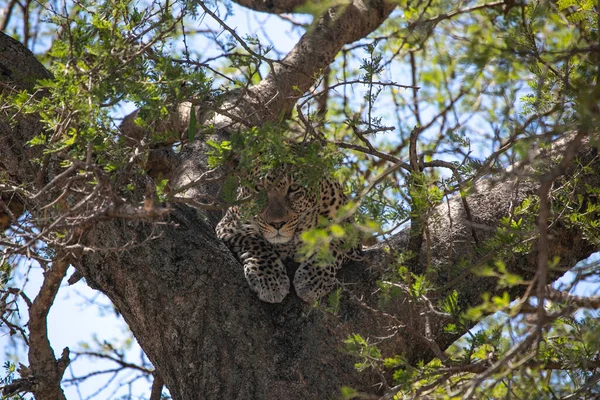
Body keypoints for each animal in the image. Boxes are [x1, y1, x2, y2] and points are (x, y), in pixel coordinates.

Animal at [216, 168, 358, 304]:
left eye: (294, 187)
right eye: (259, 188)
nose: (277, 224)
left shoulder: (351, 233)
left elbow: (332, 246)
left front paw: (311, 281)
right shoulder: (231, 225)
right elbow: (256, 243)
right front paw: (271, 281)